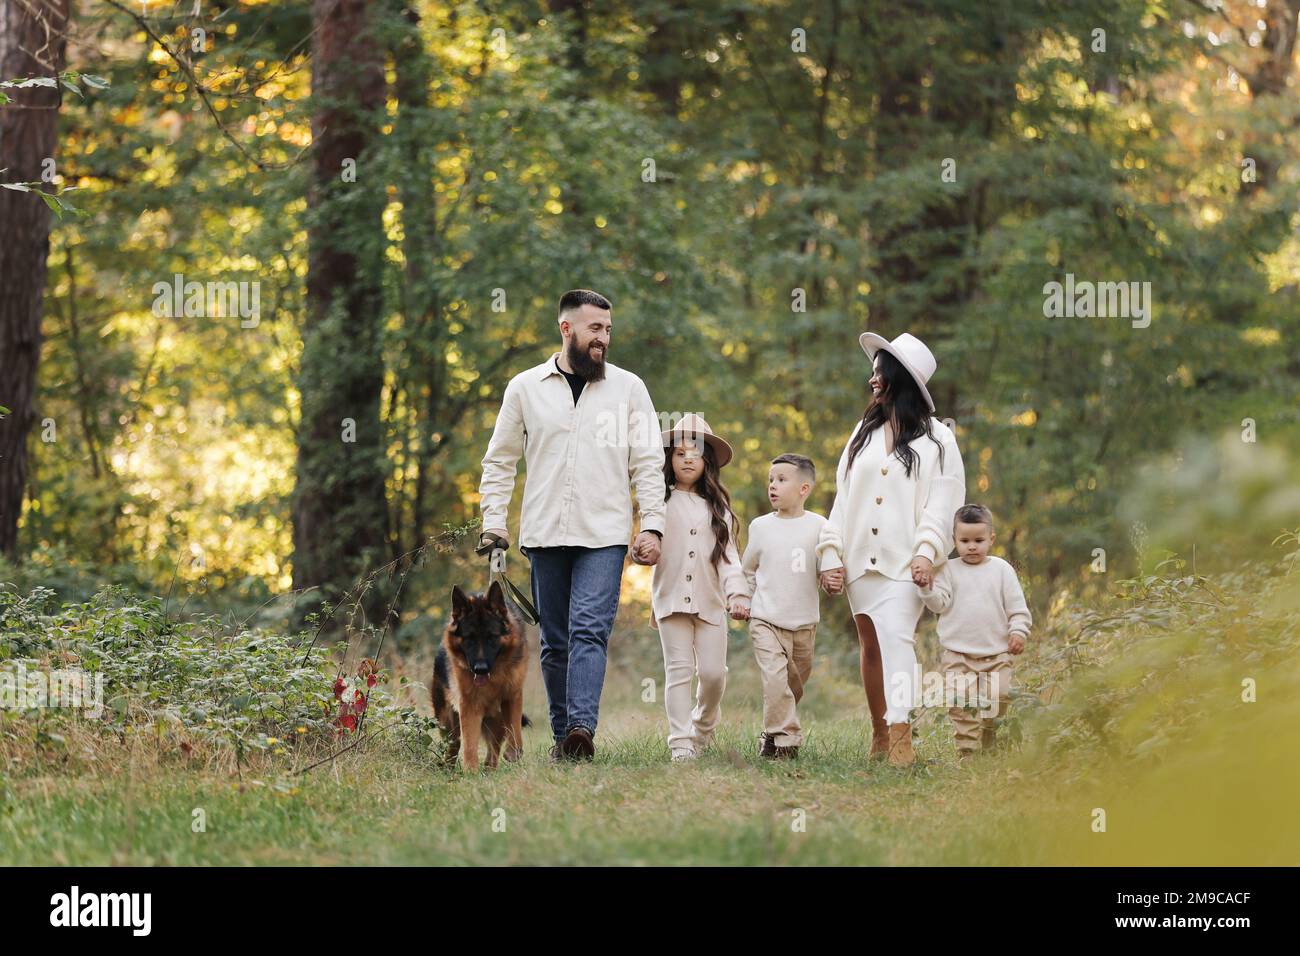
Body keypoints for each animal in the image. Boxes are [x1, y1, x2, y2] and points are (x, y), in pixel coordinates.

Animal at [428, 580, 525, 775]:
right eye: (469, 639)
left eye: (492, 637)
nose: (480, 669)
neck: (494, 675)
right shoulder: (468, 705)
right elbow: (469, 743)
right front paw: (471, 772)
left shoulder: (513, 696)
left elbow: (515, 728)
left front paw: (513, 752)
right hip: (447, 720)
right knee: (454, 744)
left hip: (496, 721)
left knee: (493, 749)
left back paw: (489, 769)